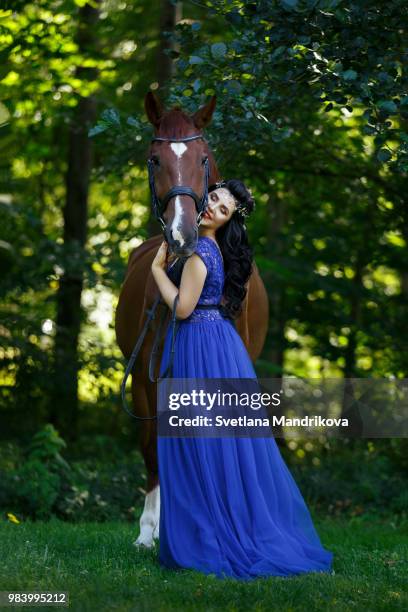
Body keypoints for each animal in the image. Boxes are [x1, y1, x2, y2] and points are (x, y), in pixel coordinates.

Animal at [115, 92, 270, 548]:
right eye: (154, 159)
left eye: (203, 158)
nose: (182, 235)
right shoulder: (147, 380)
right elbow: (154, 446)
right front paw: (150, 531)